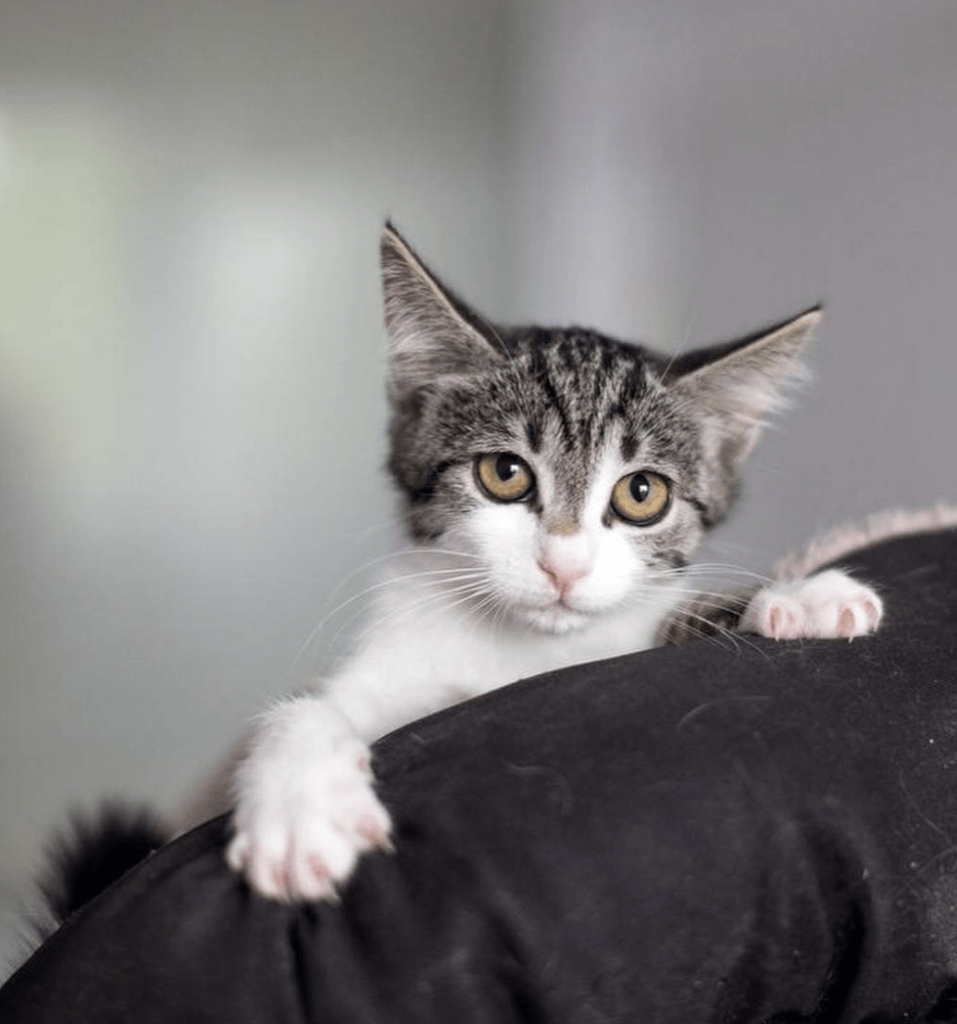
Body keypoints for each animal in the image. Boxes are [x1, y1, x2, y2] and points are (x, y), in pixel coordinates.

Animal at [216, 222, 884, 897]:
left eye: (642, 493)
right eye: (504, 473)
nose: (564, 566)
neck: (530, 647)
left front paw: (802, 594)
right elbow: (306, 708)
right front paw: (301, 806)